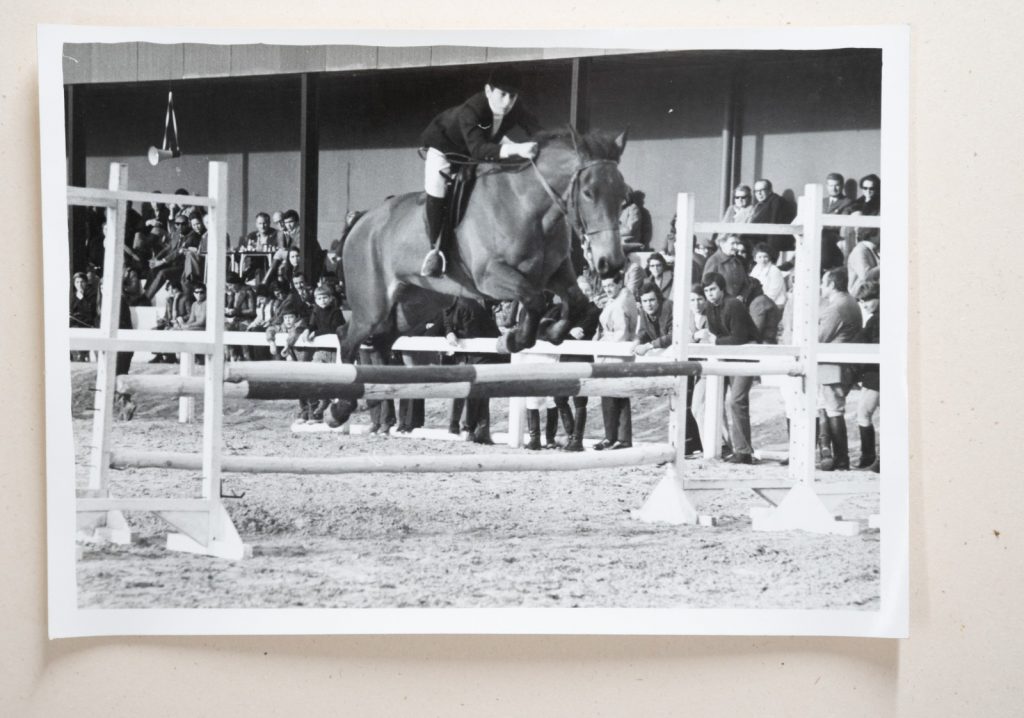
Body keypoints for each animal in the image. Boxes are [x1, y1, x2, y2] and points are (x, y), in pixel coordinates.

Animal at [325, 127, 630, 428]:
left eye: (622, 194)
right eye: (588, 193)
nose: (611, 264)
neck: (528, 206)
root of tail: (361, 221)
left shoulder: (556, 273)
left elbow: (575, 302)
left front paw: (549, 332)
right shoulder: (491, 276)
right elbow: (534, 300)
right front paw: (512, 340)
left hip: (416, 306)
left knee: (379, 341)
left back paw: (376, 401)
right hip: (373, 306)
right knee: (347, 337)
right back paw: (339, 408)